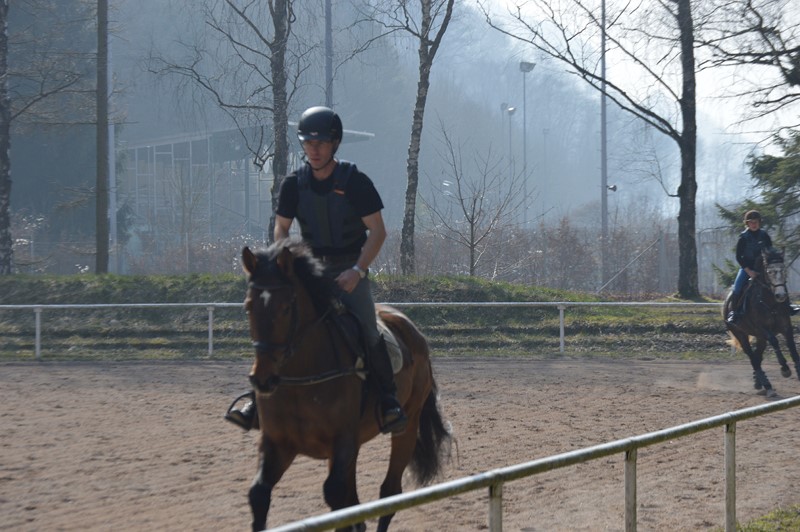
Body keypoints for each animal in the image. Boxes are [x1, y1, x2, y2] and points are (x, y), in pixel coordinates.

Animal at [240, 238, 451, 532]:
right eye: (248, 307)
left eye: (286, 308)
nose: (263, 379)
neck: (301, 377)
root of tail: (411, 329)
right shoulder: (278, 444)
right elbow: (259, 494)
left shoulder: (342, 443)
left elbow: (338, 499)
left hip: (407, 425)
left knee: (389, 493)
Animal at [724, 247, 800, 398]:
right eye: (769, 272)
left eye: (783, 269)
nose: (781, 295)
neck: (770, 302)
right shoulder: (762, 328)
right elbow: (775, 341)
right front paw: (785, 369)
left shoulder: (786, 327)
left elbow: (792, 347)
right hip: (741, 334)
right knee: (752, 357)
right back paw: (767, 386)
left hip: (760, 338)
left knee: (757, 356)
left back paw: (759, 382)